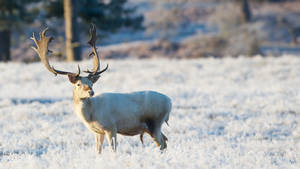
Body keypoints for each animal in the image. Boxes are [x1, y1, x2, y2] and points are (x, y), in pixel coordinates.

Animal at [30, 24, 172, 153]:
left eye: (91, 83)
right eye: (78, 84)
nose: (91, 91)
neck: (92, 115)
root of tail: (170, 102)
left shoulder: (111, 127)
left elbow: (113, 150)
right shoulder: (98, 132)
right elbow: (98, 151)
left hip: (155, 122)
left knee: (161, 143)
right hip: (150, 127)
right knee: (165, 141)